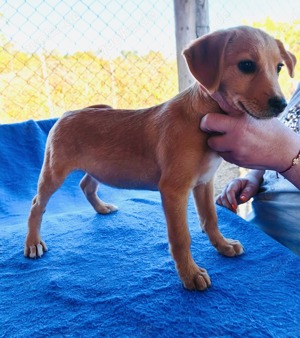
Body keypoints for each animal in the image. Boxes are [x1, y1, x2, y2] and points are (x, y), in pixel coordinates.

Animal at [24, 25, 296, 290]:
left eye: (279, 67)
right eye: (246, 65)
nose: (281, 105)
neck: (202, 115)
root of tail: (67, 113)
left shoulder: (203, 183)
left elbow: (211, 218)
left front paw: (223, 245)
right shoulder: (173, 190)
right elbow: (181, 237)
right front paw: (190, 274)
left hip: (97, 166)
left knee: (86, 185)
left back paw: (101, 208)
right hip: (54, 170)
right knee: (37, 204)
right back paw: (33, 242)